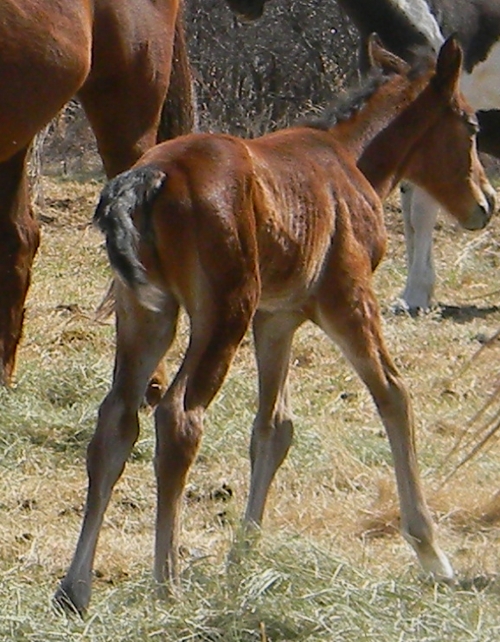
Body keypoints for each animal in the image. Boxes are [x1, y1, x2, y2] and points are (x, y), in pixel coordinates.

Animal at [55, 36, 496, 615]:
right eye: (470, 126)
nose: (486, 204)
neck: (347, 160)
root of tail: (147, 178)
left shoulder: (278, 319)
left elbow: (273, 427)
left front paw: (242, 556)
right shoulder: (346, 298)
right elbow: (394, 394)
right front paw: (431, 553)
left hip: (146, 316)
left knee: (116, 421)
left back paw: (75, 588)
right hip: (225, 310)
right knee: (179, 417)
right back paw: (167, 582)